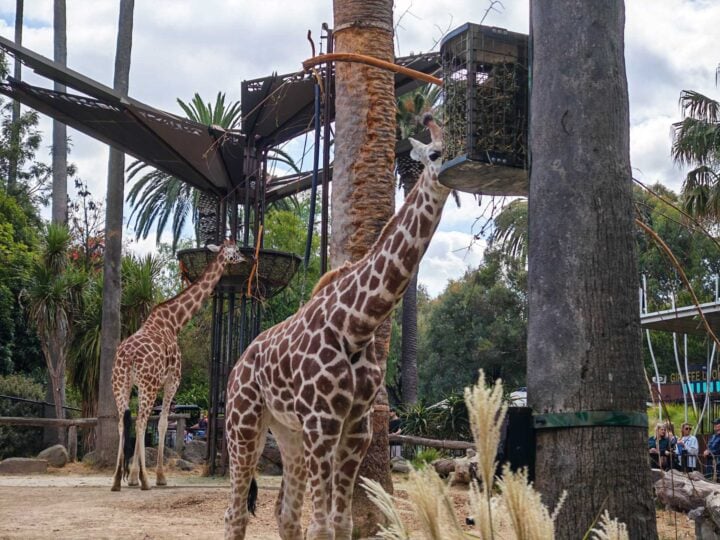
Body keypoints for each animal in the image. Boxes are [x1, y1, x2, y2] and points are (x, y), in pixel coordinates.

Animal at [111, 239, 245, 491]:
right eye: (237, 250)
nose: (246, 258)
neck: (175, 322)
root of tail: (129, 356)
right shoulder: (172, 380)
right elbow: (163, 423)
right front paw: (159, 477)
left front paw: (132, 477)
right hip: (148, 384)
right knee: (141, 422)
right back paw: (145, 481)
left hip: (119, 384)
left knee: (123, 423)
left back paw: (116, 481)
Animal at [224, 114, 449, 540]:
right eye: (434, 154)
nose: (452, 173)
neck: (358, 323)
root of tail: (238, 364)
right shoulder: (322, 422)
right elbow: (323, 527)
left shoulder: (356, 426)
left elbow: (342, 523)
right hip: (243, 423)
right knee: (236, 513)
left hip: (288, 432)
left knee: (285, 514)